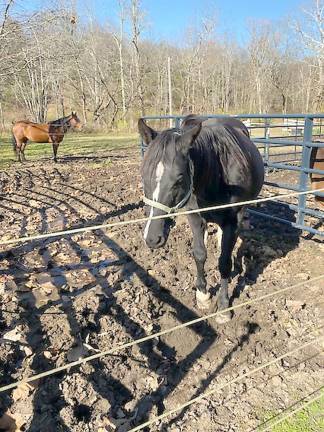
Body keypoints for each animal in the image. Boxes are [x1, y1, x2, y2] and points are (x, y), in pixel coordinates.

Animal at [138, 113, 264, 322]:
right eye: (143, 175)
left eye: (179, 178)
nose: (152, 238)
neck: (217, 175)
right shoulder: (195, 216)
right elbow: (199, 254)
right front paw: (203, 295)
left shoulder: (233, 221)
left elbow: (224, 262)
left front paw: (223, 305)